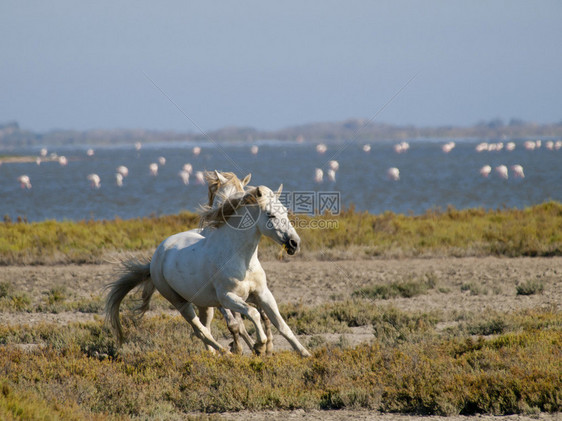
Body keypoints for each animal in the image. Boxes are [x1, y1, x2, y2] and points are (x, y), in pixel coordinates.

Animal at [105, 184, 310, 354]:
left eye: (286, 212)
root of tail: (156, 258)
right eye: (270, 214)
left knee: (205, 329)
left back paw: (214, 355)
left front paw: (304, 354)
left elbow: (281, 325)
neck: (241, 260)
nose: (294, 243)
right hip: (180, 303)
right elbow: (253, 314)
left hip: (205, 305)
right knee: (200, 331)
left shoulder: (262, 294)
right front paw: (259, 346)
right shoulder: (227, 298)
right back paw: (226, 353)